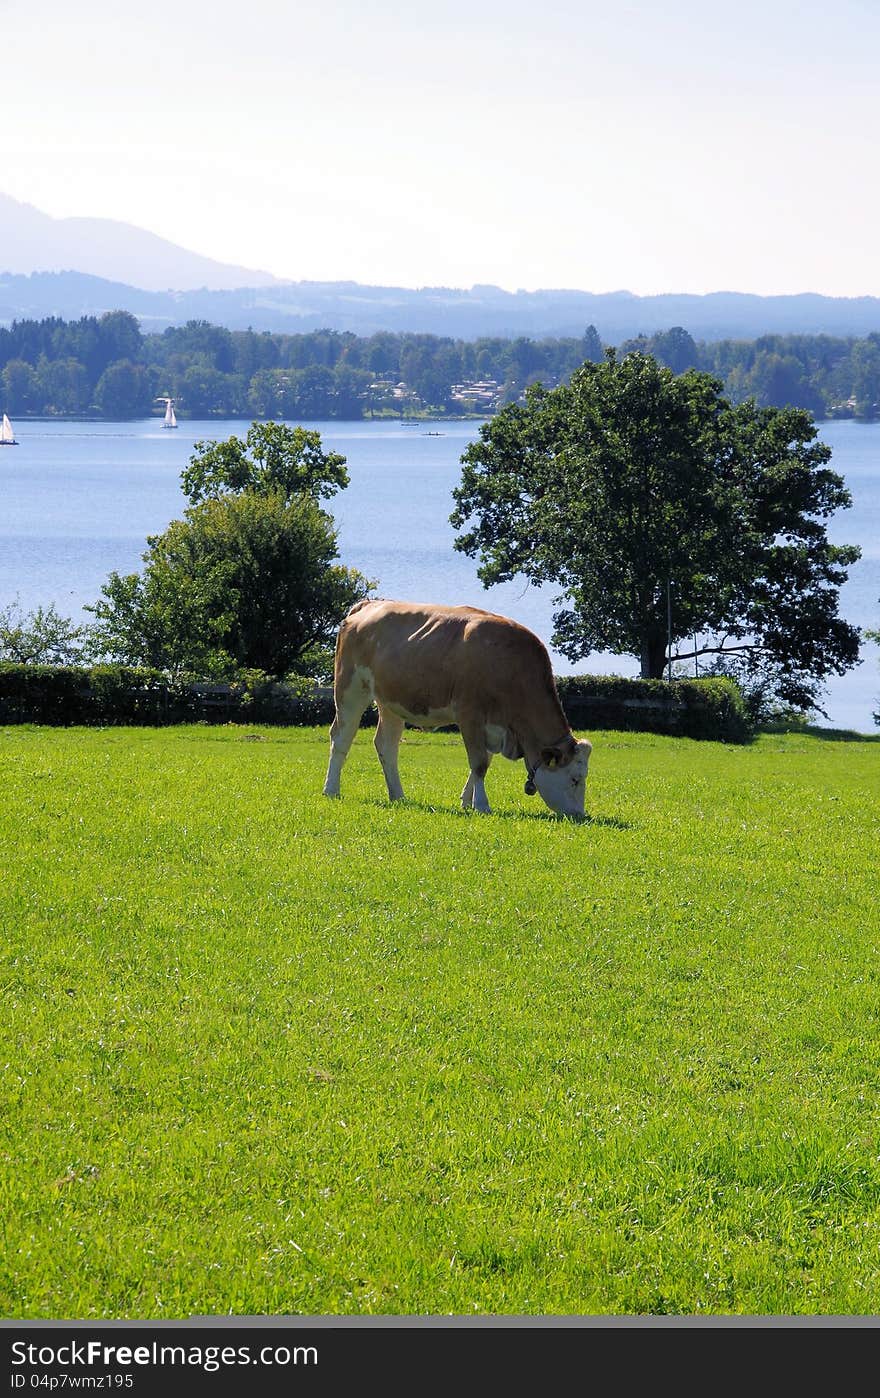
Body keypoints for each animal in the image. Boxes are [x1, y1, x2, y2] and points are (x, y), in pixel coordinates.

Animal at [323, 595, 590, 816]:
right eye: (575, 779)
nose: (580, 815)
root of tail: (369, 604)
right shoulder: (470, 715)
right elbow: (479, 763)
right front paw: (481, 805)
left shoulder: (493, 726)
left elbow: (484, 762)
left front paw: (466, 801)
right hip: (350, 689)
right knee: (341, 737)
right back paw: (331, 789)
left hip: (390, 701)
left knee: (386, 746)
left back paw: (398, 795)